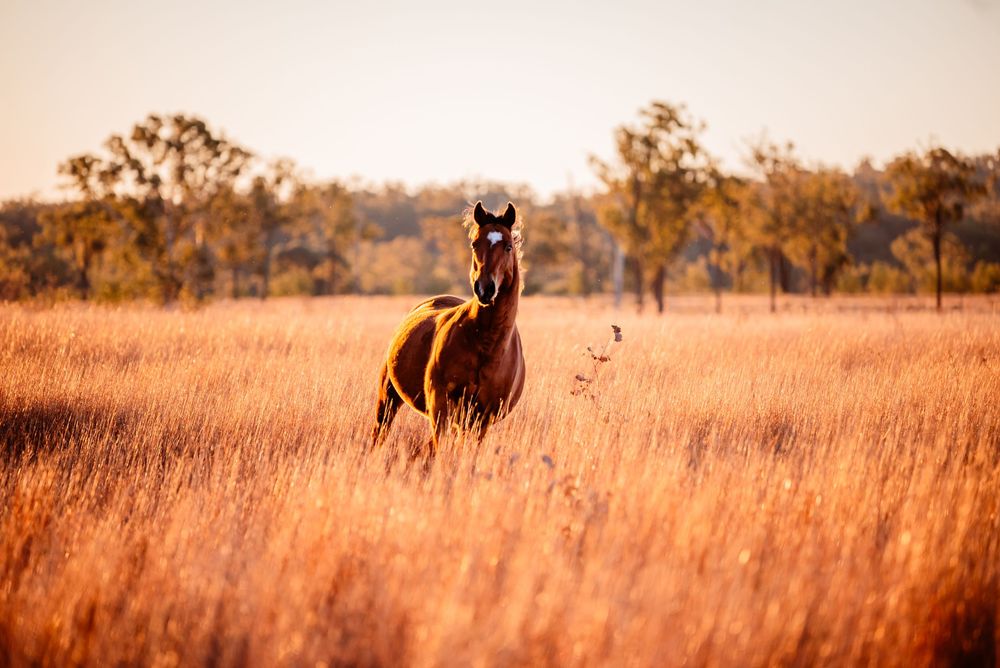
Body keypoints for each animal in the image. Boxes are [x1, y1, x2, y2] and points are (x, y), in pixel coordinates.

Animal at [370, 201, 526, 464]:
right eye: (474, 243)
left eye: (508, 246)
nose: (485, 289)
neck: (486, 346)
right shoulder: (440, 402)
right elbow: (438, 446)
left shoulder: (483, 417)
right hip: (388, 396)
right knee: (379, 434)